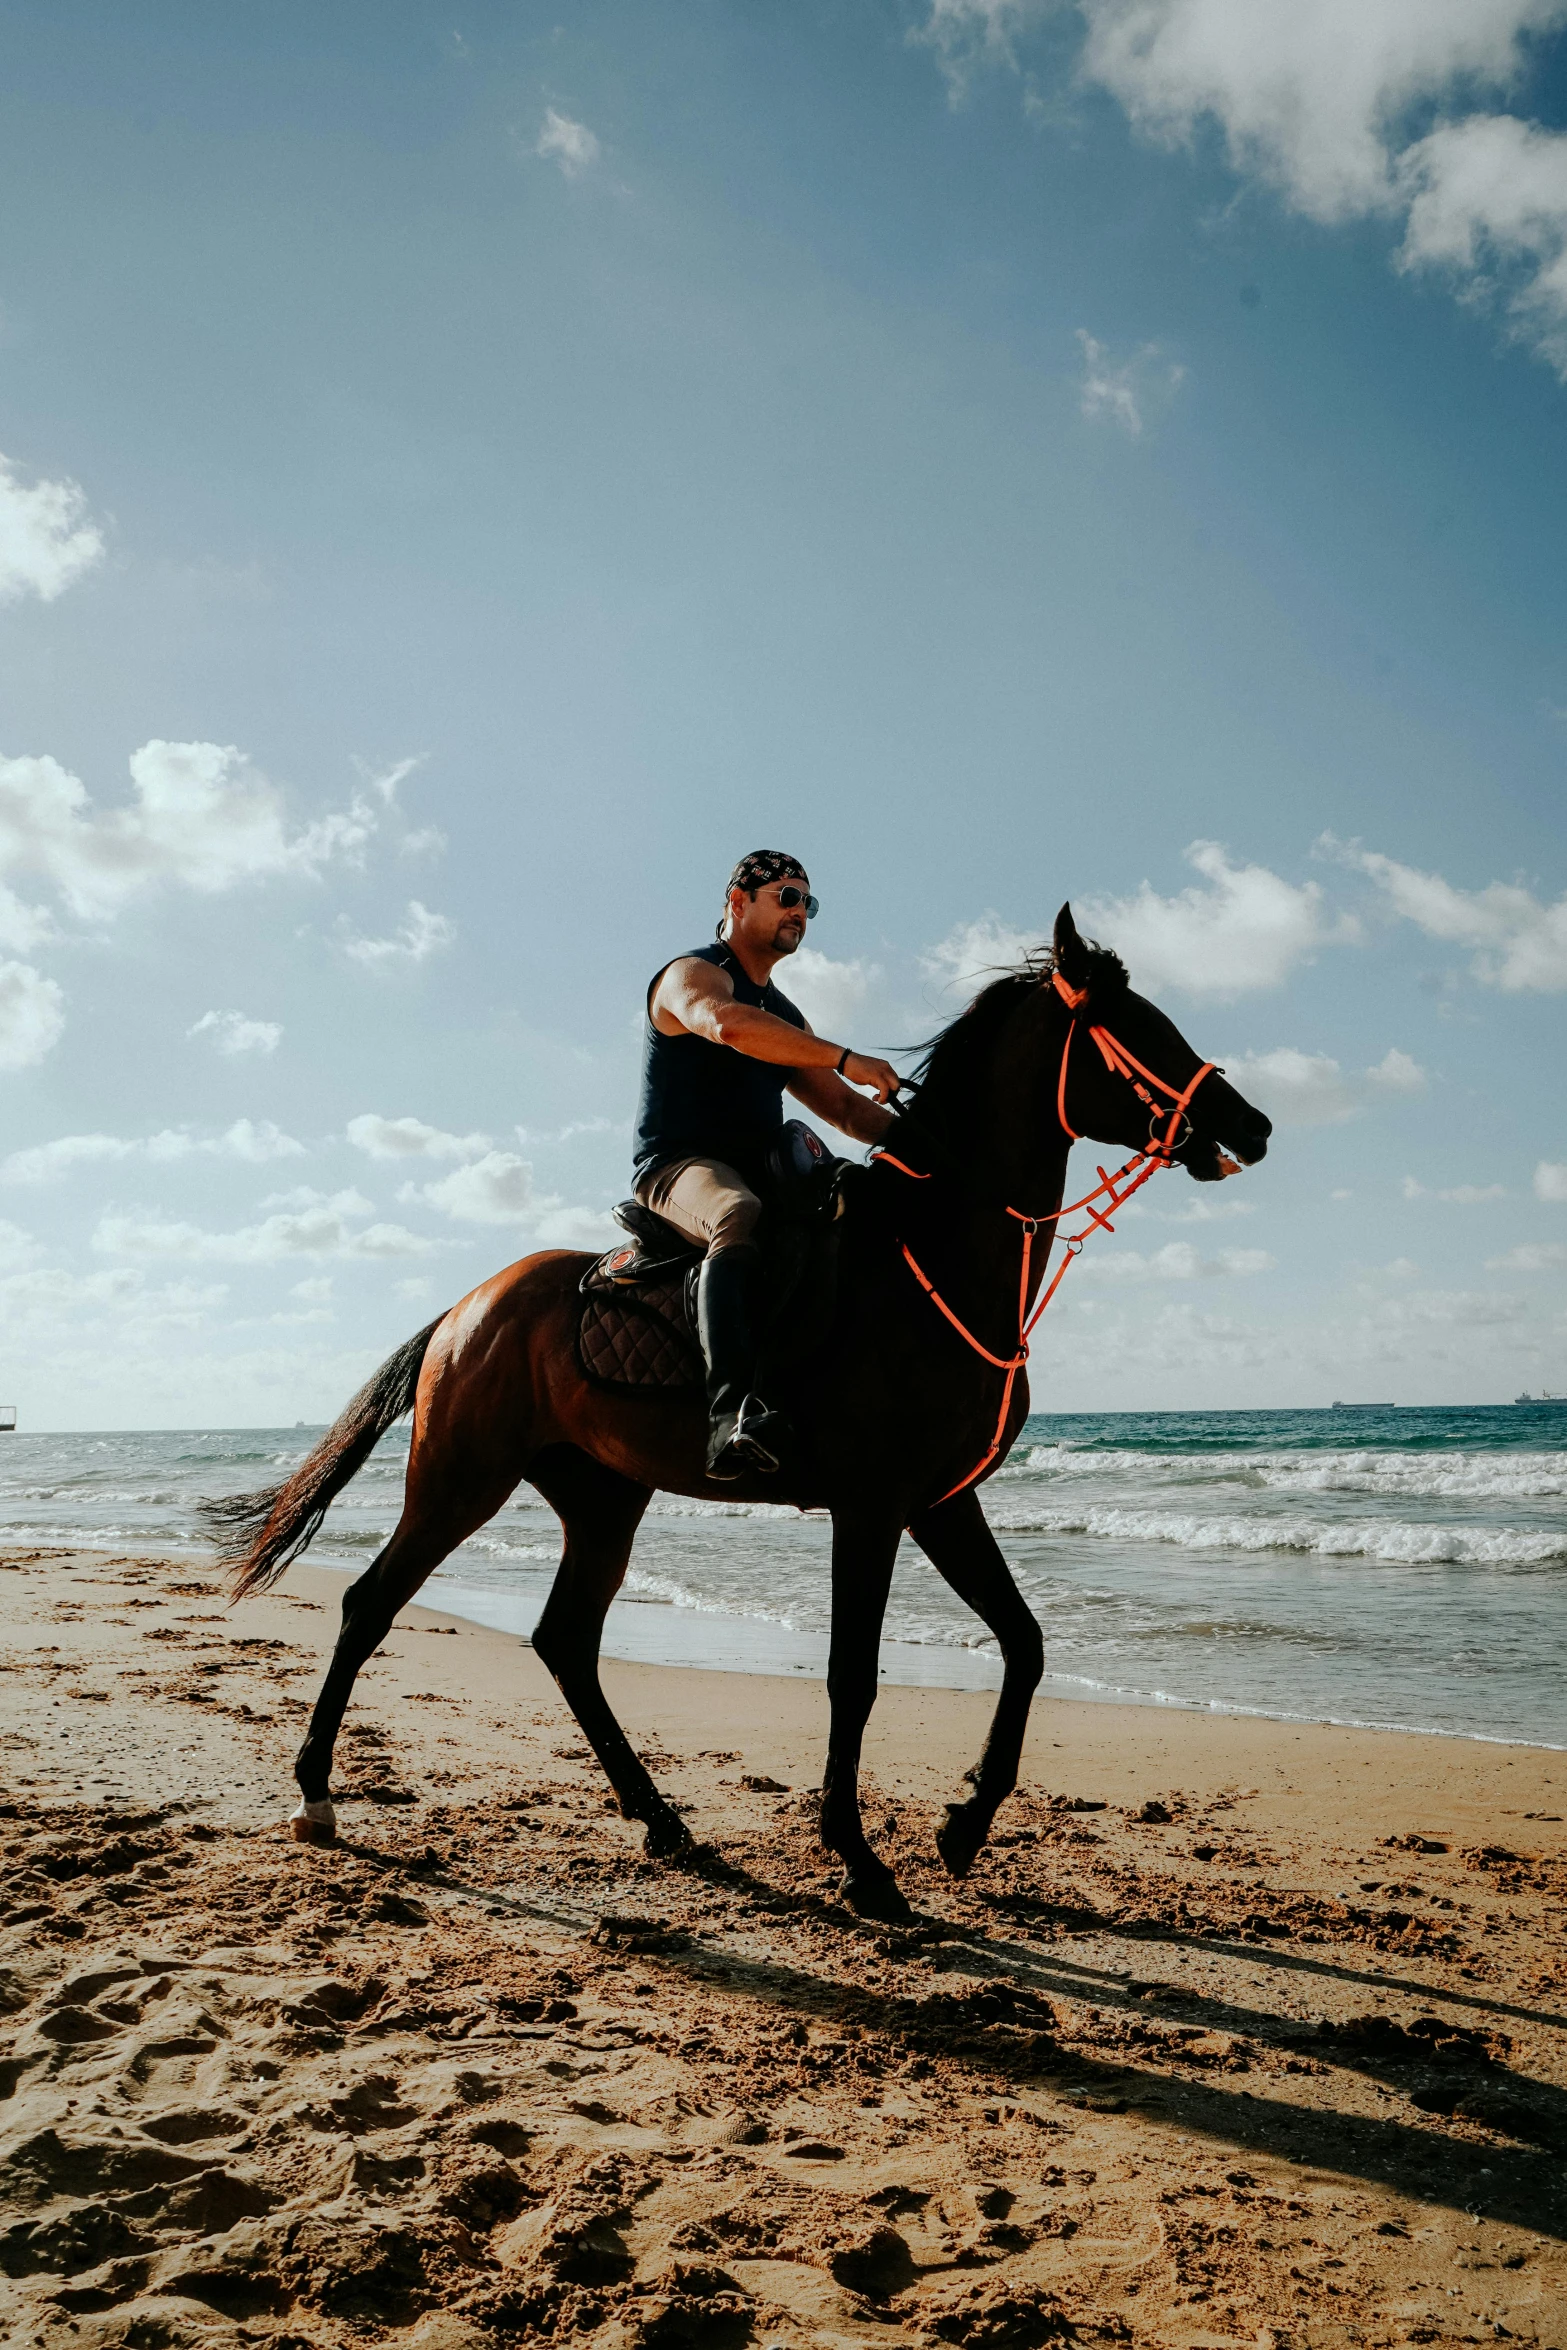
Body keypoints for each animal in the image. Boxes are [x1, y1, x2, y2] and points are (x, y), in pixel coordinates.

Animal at [205, 902, 1278, 1926]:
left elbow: (1024, 1643)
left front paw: (964, 1825)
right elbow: (854, 1676)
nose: (1255, 1124)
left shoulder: (941, 1501)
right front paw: (860, 1865)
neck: (928, 1255)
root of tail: (469, 1308)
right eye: (1137, 1027)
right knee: (370, 1605)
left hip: (602, 1499)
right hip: (460, 1478)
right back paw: (316, 1796)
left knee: (565, 1641)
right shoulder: (873, 1508)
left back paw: (663, 1822)